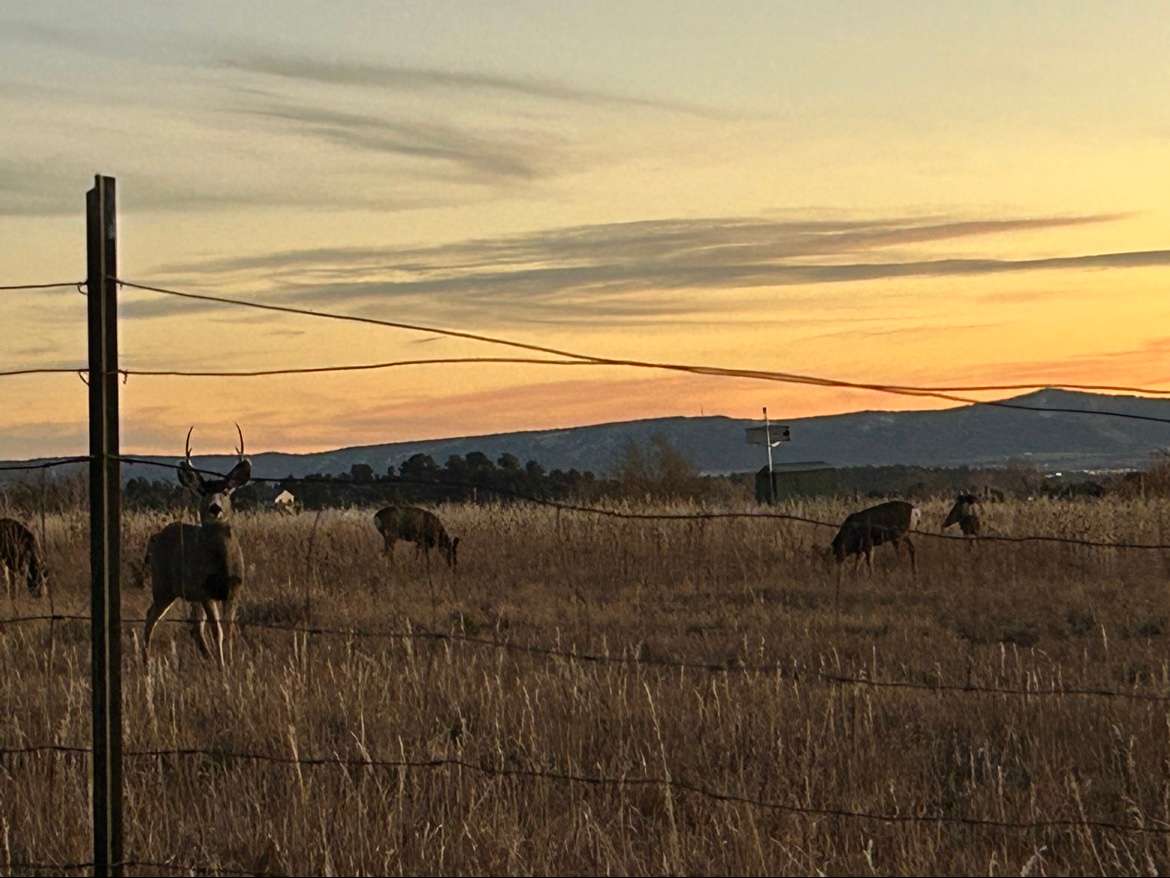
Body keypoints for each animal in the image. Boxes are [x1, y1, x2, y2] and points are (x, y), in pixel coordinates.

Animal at [142, 425, 251, 668]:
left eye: (226, 491)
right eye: (203, 491)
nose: (214, 508)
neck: (222, 566)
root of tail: (155, 537)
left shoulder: (234, 589)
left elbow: (229, 630)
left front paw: (230, 662)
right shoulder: (205, 589)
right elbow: (217, 631)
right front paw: (222, 667)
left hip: (186, 592)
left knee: (194, 626)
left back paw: (206, 657)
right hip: (163, 584)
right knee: (151, 616)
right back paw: (145, 661)